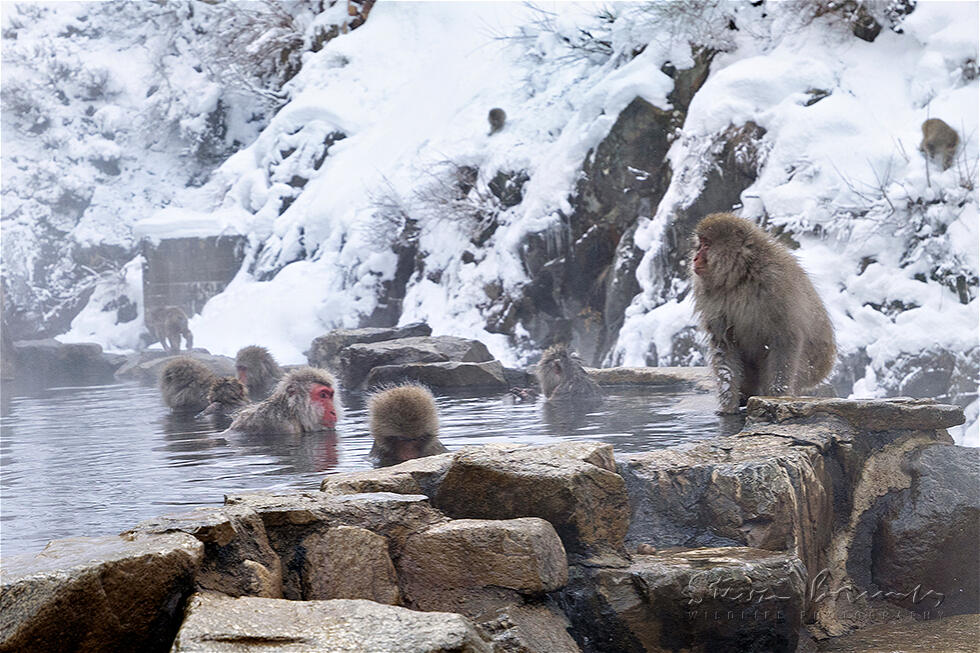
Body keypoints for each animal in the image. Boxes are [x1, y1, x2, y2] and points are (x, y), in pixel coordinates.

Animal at [690, 213, 836, 414]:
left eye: (706, 244)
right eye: (700, 243)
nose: (695, 258)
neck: (739, 278)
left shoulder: (777, 283)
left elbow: (785, 340)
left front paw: (777, 397)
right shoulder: (711, 297)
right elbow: (724, 344)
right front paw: (728, 405)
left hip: (812, 369)